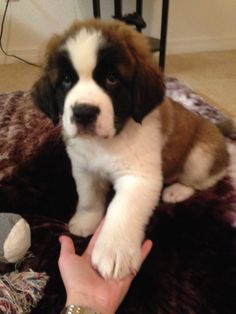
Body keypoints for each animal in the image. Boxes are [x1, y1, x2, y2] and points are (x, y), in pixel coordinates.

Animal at [31, 19, 229, 280]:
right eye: (65, 81)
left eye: (112, 79)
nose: (83, 113)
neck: (105, 142)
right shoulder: (84, 168)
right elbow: (88, 197)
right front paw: (85, 221)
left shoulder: (139, 178)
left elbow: (122, 210)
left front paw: (114, 251)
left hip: (201, 156)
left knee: (203, 180)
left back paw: (177, 190)